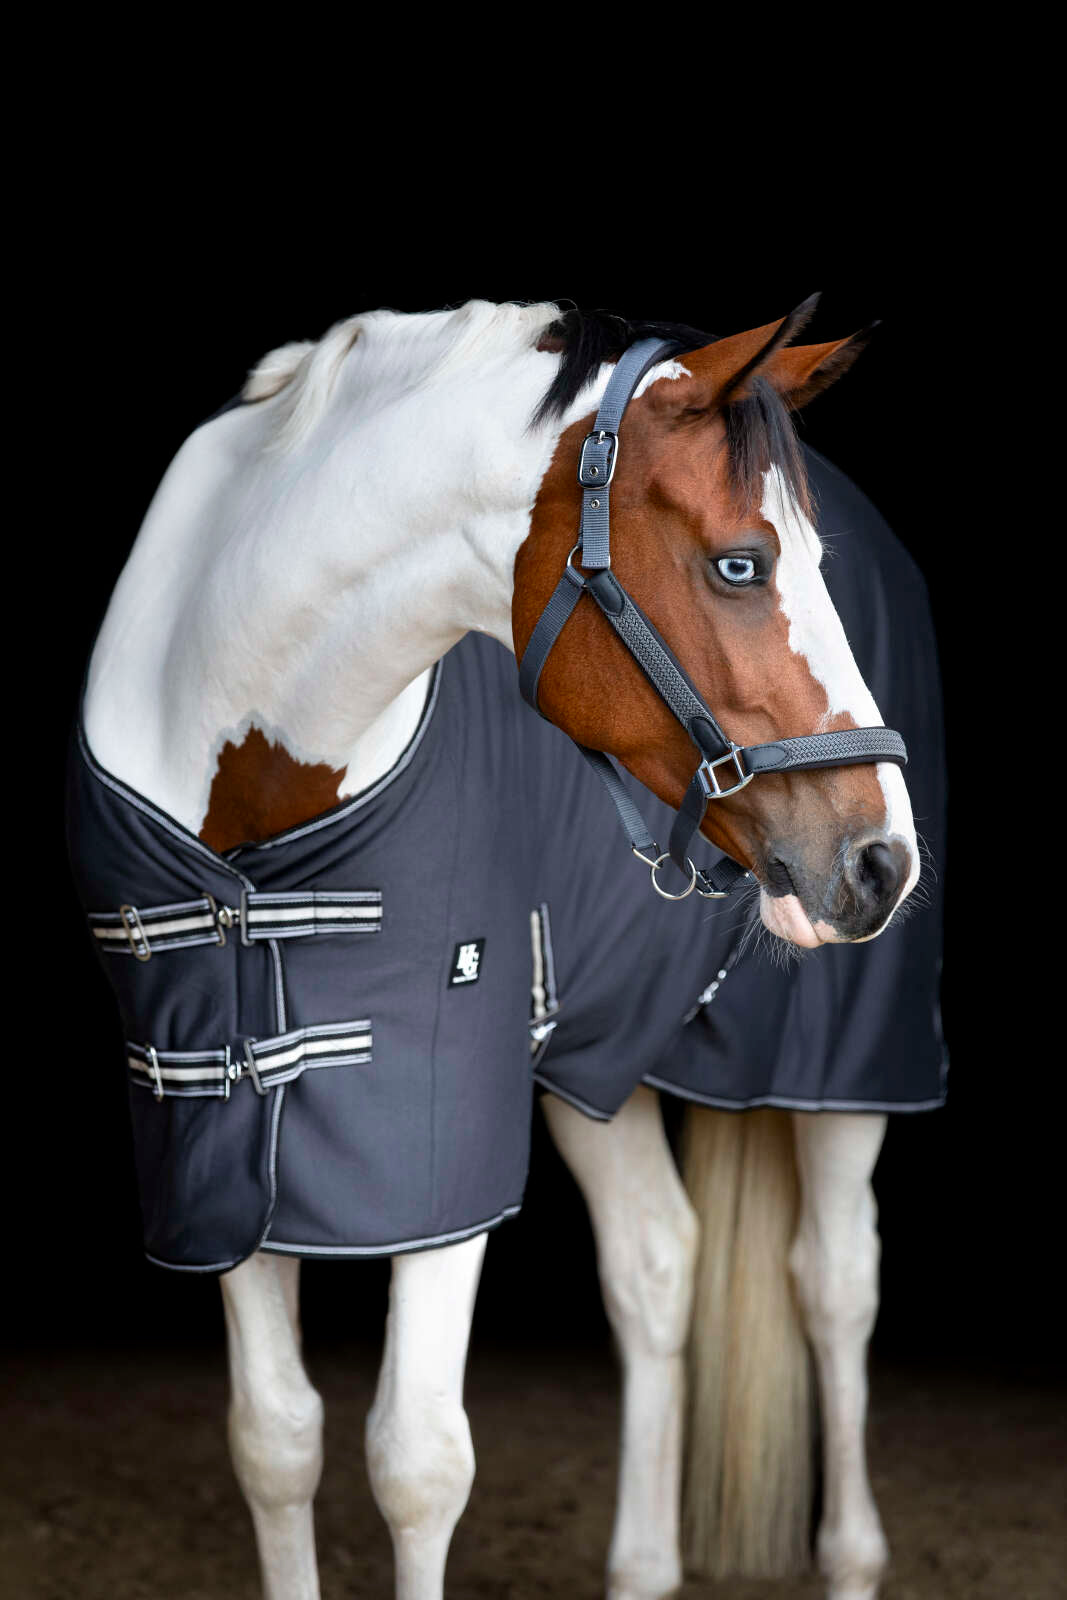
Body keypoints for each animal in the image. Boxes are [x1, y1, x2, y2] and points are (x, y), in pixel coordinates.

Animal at [66, 296, 941, 1600]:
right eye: (740, 562)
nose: (883, 859)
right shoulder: (208, 1138)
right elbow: (274, 1438)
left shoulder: (444, 1133)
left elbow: (417, 1461)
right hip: (597, 1055)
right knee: (656, 1264)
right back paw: (642, 1564)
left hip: (844, 1070)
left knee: (833, 1287)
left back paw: (846, 1555)